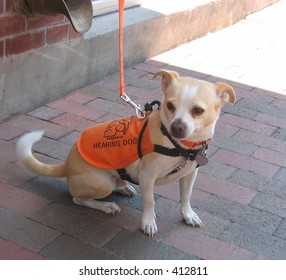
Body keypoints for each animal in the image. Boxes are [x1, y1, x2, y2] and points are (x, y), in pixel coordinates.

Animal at [16, 70, 235, 236]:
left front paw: (188, 215)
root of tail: (66, 165)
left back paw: (123, 186)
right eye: (170, 105)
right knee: (78, 198)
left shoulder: (190, 174)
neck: (180, 145)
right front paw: (148, 223)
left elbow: (186, 197)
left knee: (114, 183)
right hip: (101, 184)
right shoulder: (148, 176)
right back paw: (106, 206)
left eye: (198, 110)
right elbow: (150, 201)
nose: (177, 127)